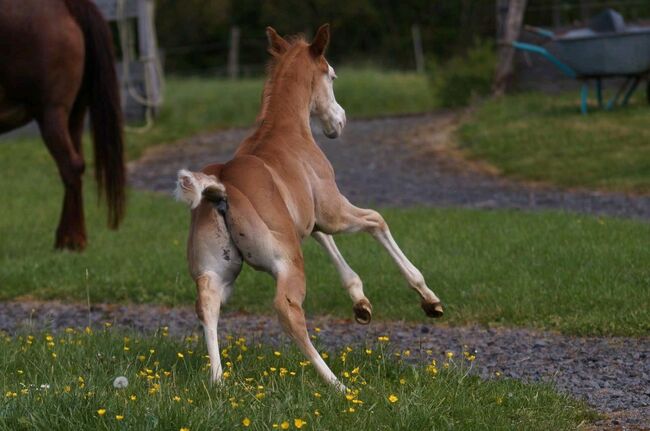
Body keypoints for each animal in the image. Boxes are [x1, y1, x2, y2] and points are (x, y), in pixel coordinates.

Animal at [0, 0, 124, 250]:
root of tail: (66, 5)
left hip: (52, 114)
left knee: (71, 166)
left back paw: (70, 240)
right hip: (75, 113)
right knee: (76, 165)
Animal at [175, 25, 442, 394]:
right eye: (332, 75)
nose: (339, 121)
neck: (284, 130)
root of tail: (221, 186)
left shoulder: (309, 220)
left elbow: (329, 244)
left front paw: (361, 303)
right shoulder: (333, 212)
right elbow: (377, 220)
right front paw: (428, 299)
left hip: (216, 271)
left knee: (207, 305)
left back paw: (218, 381)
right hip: (287, 262)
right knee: (288, 310)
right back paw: (336, 383)